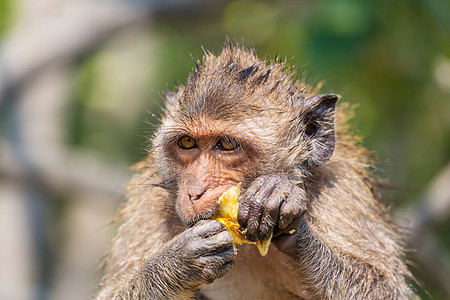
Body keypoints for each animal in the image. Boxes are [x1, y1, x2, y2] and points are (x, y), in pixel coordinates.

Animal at [95, 43, 414, 298]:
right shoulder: (148, 205)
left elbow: (385, 287)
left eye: (226, 144)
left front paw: (281, 198)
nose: (194, 191)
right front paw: (179, 261)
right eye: (187, 142)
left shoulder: (342, 186)